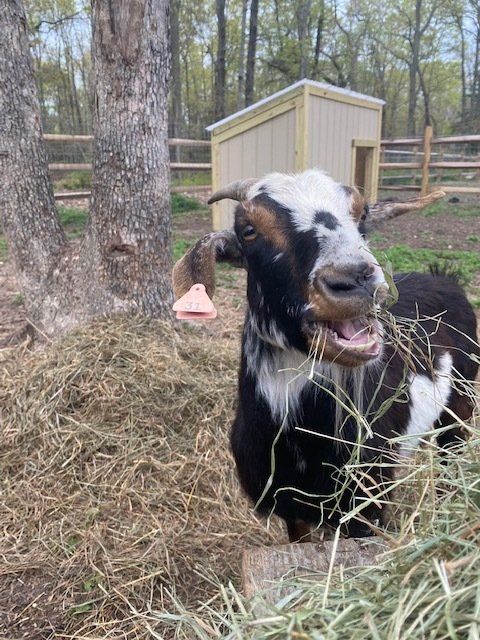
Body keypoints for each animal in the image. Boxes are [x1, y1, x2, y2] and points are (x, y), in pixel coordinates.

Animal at [173, 169, 479, 541]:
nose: (356, 280)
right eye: (248, 230)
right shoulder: (290, 509)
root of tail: (445, 279)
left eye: (362, 215)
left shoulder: (365, 506)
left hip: (460, 404)